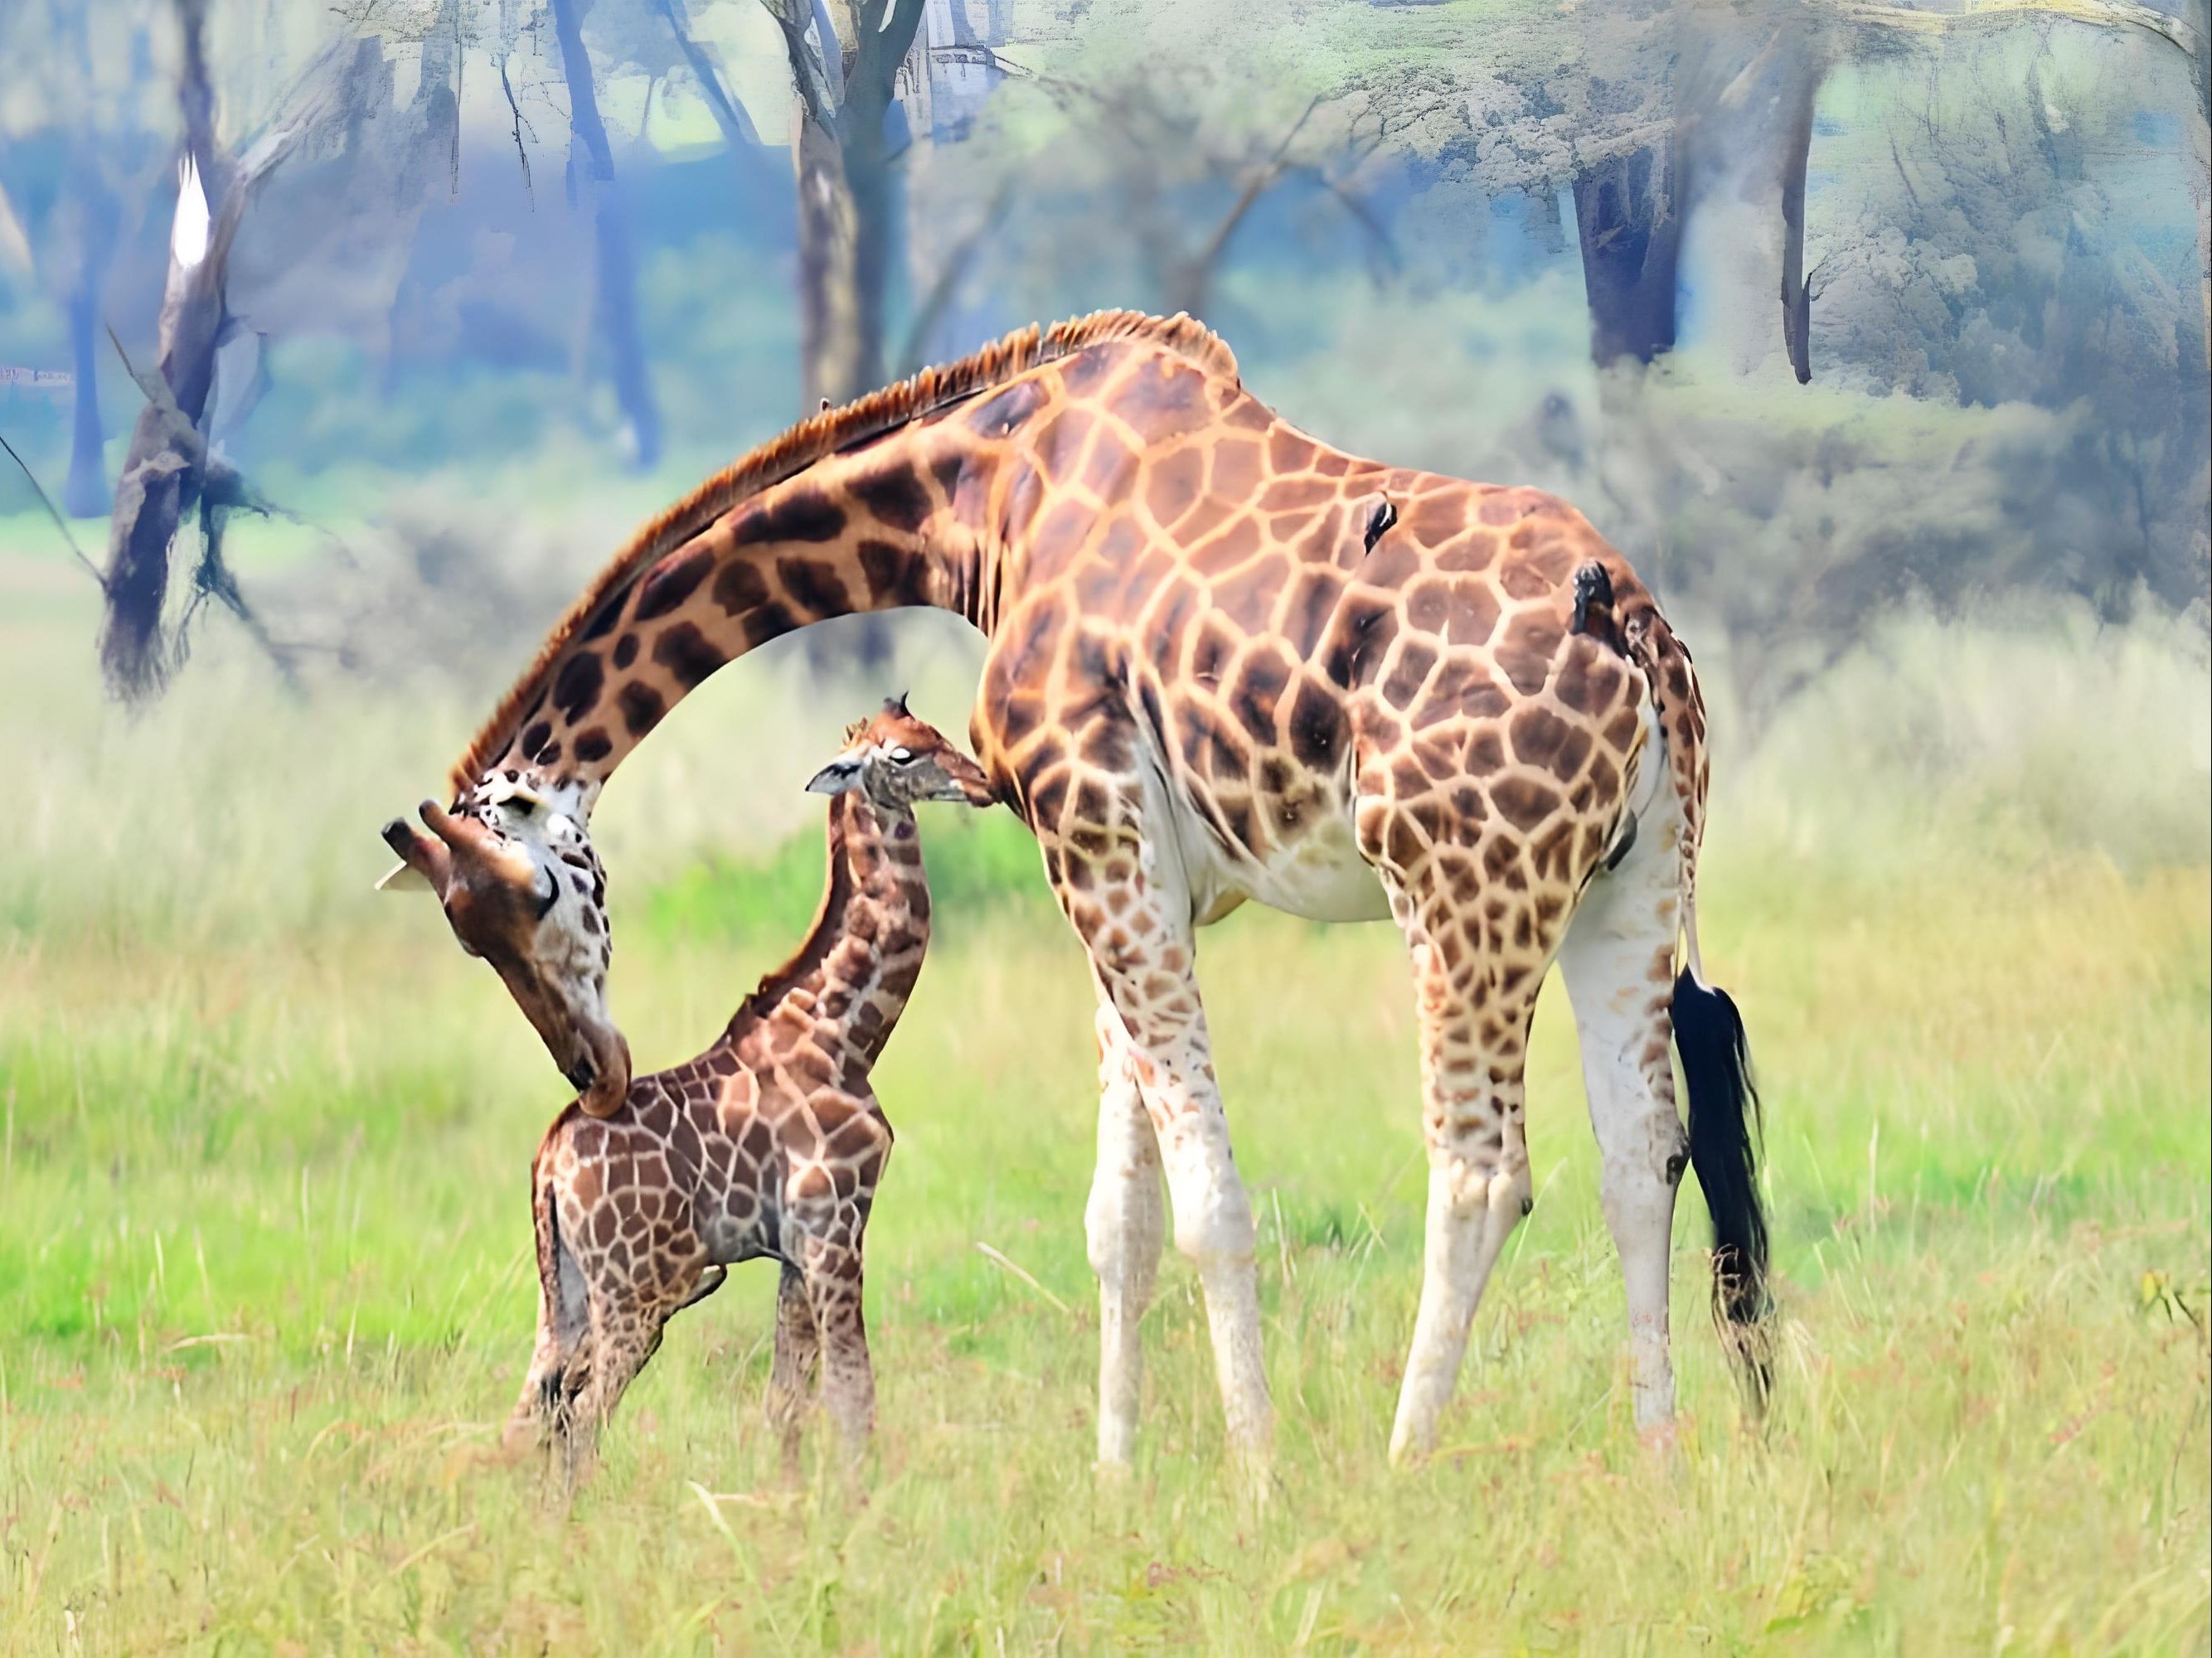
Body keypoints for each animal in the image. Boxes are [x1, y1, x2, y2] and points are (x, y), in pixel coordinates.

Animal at [502, 703, 995, 1476]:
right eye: (902, 755)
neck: (845, 1033)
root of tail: (550, 1162)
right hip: (637, 1292)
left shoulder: (793, 1248)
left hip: (569, 1292)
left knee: (529, 1416)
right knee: (581, 1417)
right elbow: (852, 1395)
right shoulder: (833, 1225)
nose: (983, 784)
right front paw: (857, 1503)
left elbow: (785, 1404)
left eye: (939, 733)